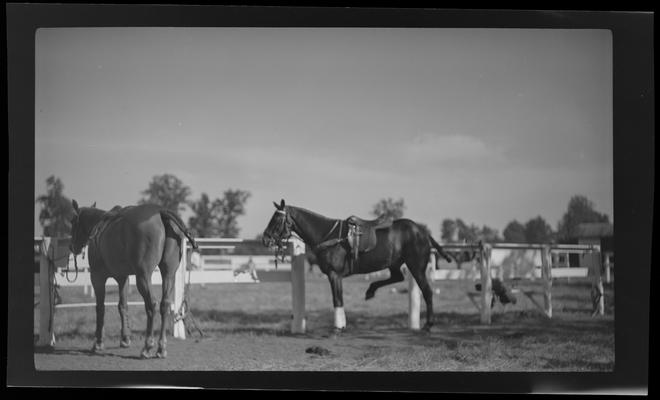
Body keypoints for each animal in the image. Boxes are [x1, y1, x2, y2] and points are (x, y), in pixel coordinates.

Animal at [70, 200, 199, 360]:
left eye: (72, 221)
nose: (71, 247)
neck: (98, 228)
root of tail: (160, 211)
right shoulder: (123, 278)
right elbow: (123, 306)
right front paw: (125, 339)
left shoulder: (97, 277)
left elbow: (100, 308)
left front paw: (98, 343)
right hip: (168, 273)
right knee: (164, 304)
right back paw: (161, 348)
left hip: (143, 276)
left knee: (151, 305)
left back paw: (147, 347)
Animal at [262, 199, 454, 332]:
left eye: (276, 220)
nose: (265, 239)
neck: (327, 236)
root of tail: (423, 232)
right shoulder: (335, 276)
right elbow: (338, 299)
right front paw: (341, 324)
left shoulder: (334, 274)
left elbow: (337, 299)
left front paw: (338, 326)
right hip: (395, 263)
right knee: (397, 277)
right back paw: (371, 290)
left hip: (416, 266)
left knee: (427, 291)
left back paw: (428, 324)